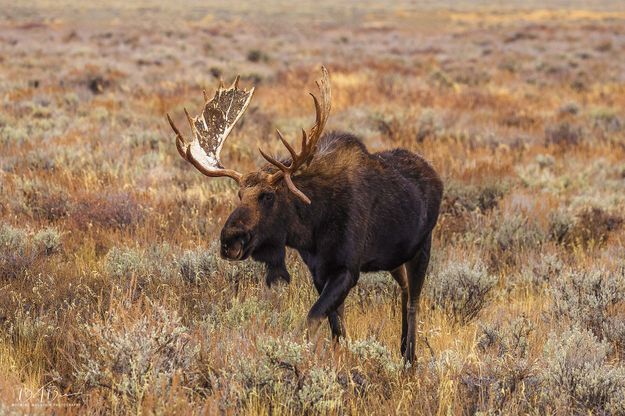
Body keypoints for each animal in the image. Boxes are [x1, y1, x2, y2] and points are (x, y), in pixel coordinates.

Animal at [167, 66, 444, 362]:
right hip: (394, 259)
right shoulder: (318, 271)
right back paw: (402, 348)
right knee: (404, 291)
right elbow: (336, 326)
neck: (310, 229)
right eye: (240, 195)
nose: (230, 240)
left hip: (422, 249)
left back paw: (410, 357)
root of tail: (436, 176)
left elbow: (312, 319)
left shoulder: (347, 268)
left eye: (268, 196)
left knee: (414, 301)